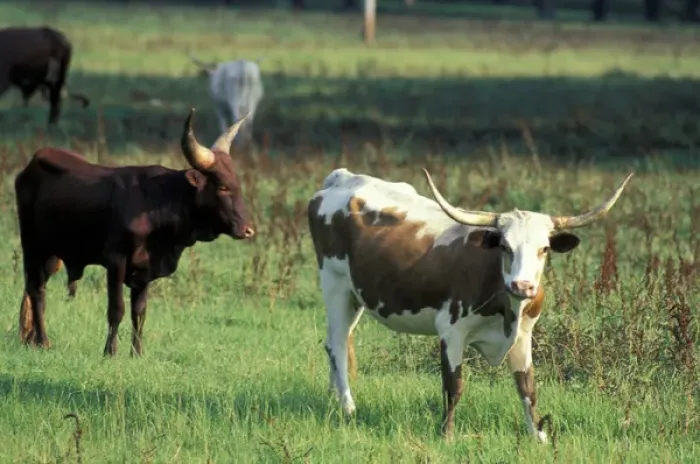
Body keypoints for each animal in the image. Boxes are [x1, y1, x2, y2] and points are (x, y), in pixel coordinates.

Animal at [15, 108, 255, 357]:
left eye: (237, 184)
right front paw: (110, 352)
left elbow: (139, 312)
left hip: (52, 254)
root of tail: (35, 160)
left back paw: (31, 340)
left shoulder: (145, 269)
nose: (248, 230)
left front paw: (137, 353)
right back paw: (43, 341)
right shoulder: (116, 261)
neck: (158, 201)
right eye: (223, 187)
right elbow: (117, 309)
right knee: (36, 290)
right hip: (32, 246)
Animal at [307, 168, 633, 443]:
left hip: (355, 296)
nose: (523, 286)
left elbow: (527, 387)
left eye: (544, 249)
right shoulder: (451, 332)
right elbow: (454, 386)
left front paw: (538, 436)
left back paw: (333, 397)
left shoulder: (523, 336)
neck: (505, 304)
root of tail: (343, 177)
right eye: (505, 246)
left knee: (335, 342)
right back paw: (348, 407)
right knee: (338, 344)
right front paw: (447, 435)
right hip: (335, 285)